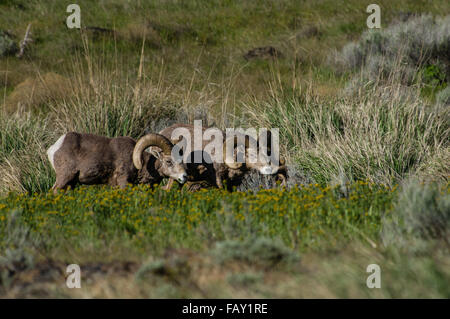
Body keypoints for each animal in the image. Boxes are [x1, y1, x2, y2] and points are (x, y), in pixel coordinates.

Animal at [48, 132, 189, 194]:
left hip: (71, 183)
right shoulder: (123, 181)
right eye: (169, 161)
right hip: (64, 177)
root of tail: (54, 148)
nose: (184, 176)